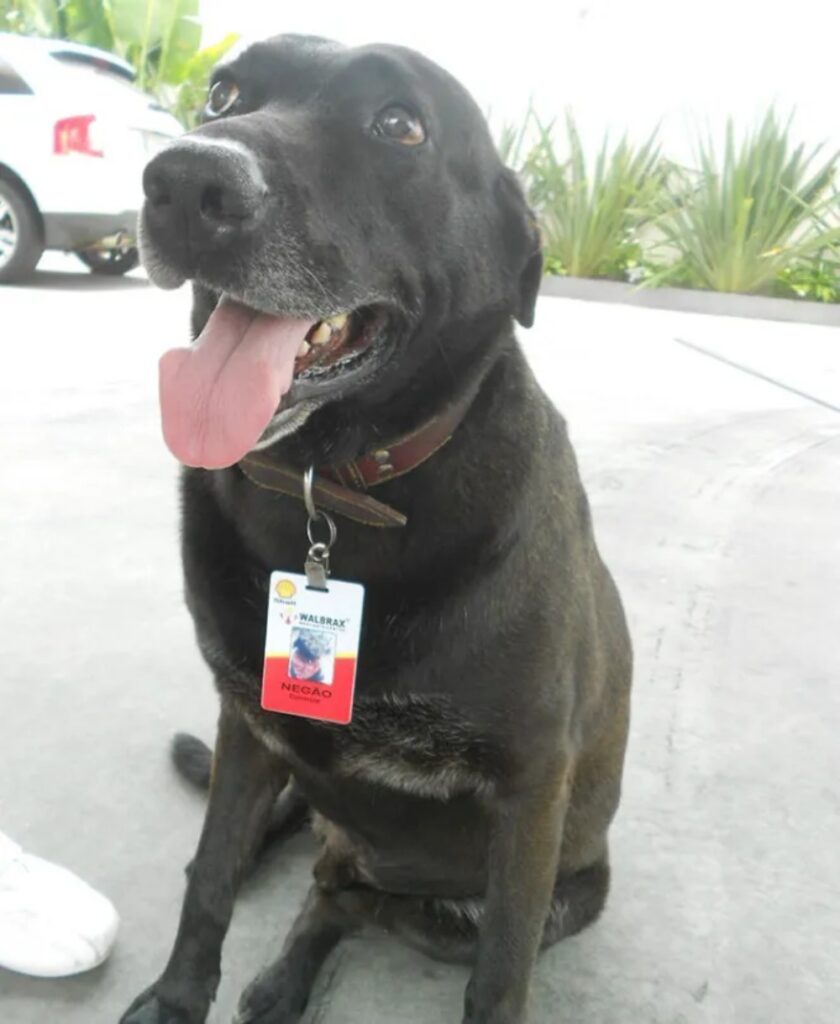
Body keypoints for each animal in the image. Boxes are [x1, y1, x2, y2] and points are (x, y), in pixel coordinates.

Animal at [124, 32, 631, 1024]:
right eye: (222, 94)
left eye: (399, 125)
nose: (183, 181)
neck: (330, 487)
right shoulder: (249, 725)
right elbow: (209, 883)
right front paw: (173, 1000)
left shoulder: (530, 789)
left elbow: (499, 979)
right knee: (309, 878)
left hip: (540, 895)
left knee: (346, 898)